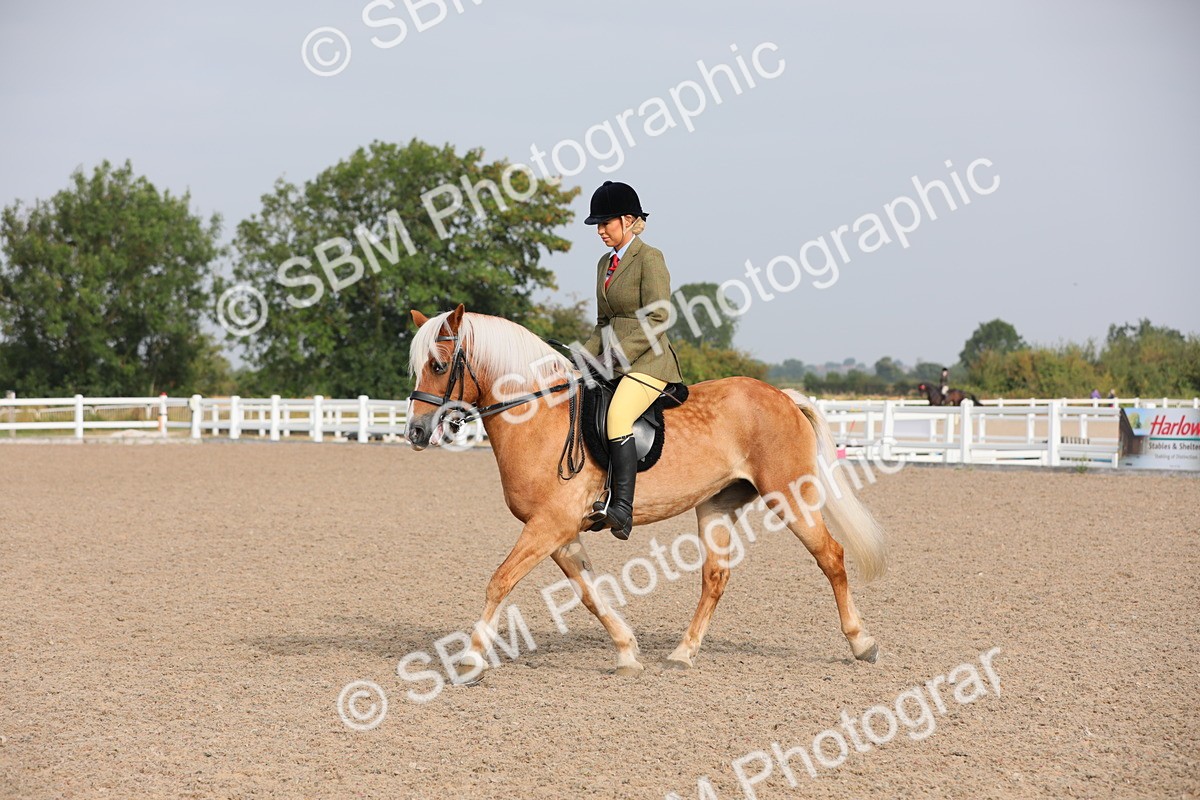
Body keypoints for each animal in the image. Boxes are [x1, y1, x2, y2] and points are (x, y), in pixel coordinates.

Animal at [405, 305, 888, 680]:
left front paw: (470, 660)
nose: (415, 431)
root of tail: (783, 397)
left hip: (789, 495)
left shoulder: (550, 525)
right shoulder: (557, 531)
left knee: (830, 556)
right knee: (715, 577)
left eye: (439, 365)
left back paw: (862, 643)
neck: (539, 414)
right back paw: (682, 653)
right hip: (716, 506)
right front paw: (626, 652)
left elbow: (500, 581)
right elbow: (589, 593)